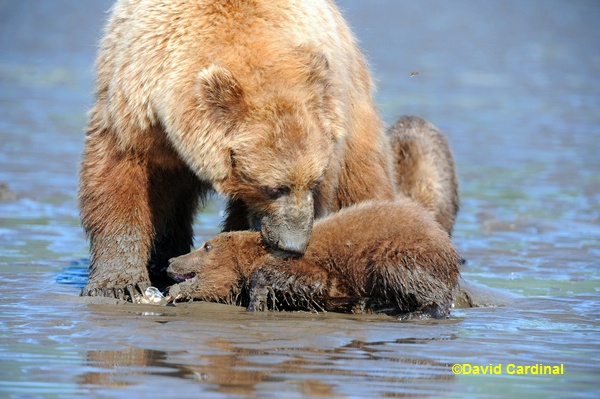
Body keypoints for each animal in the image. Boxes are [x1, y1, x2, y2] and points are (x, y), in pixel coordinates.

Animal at [81, 0, 398, 300]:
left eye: (313, 181)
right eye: (273, 188)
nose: (293, 245)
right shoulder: (137, 98)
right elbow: (119, 175)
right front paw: (119, 284)